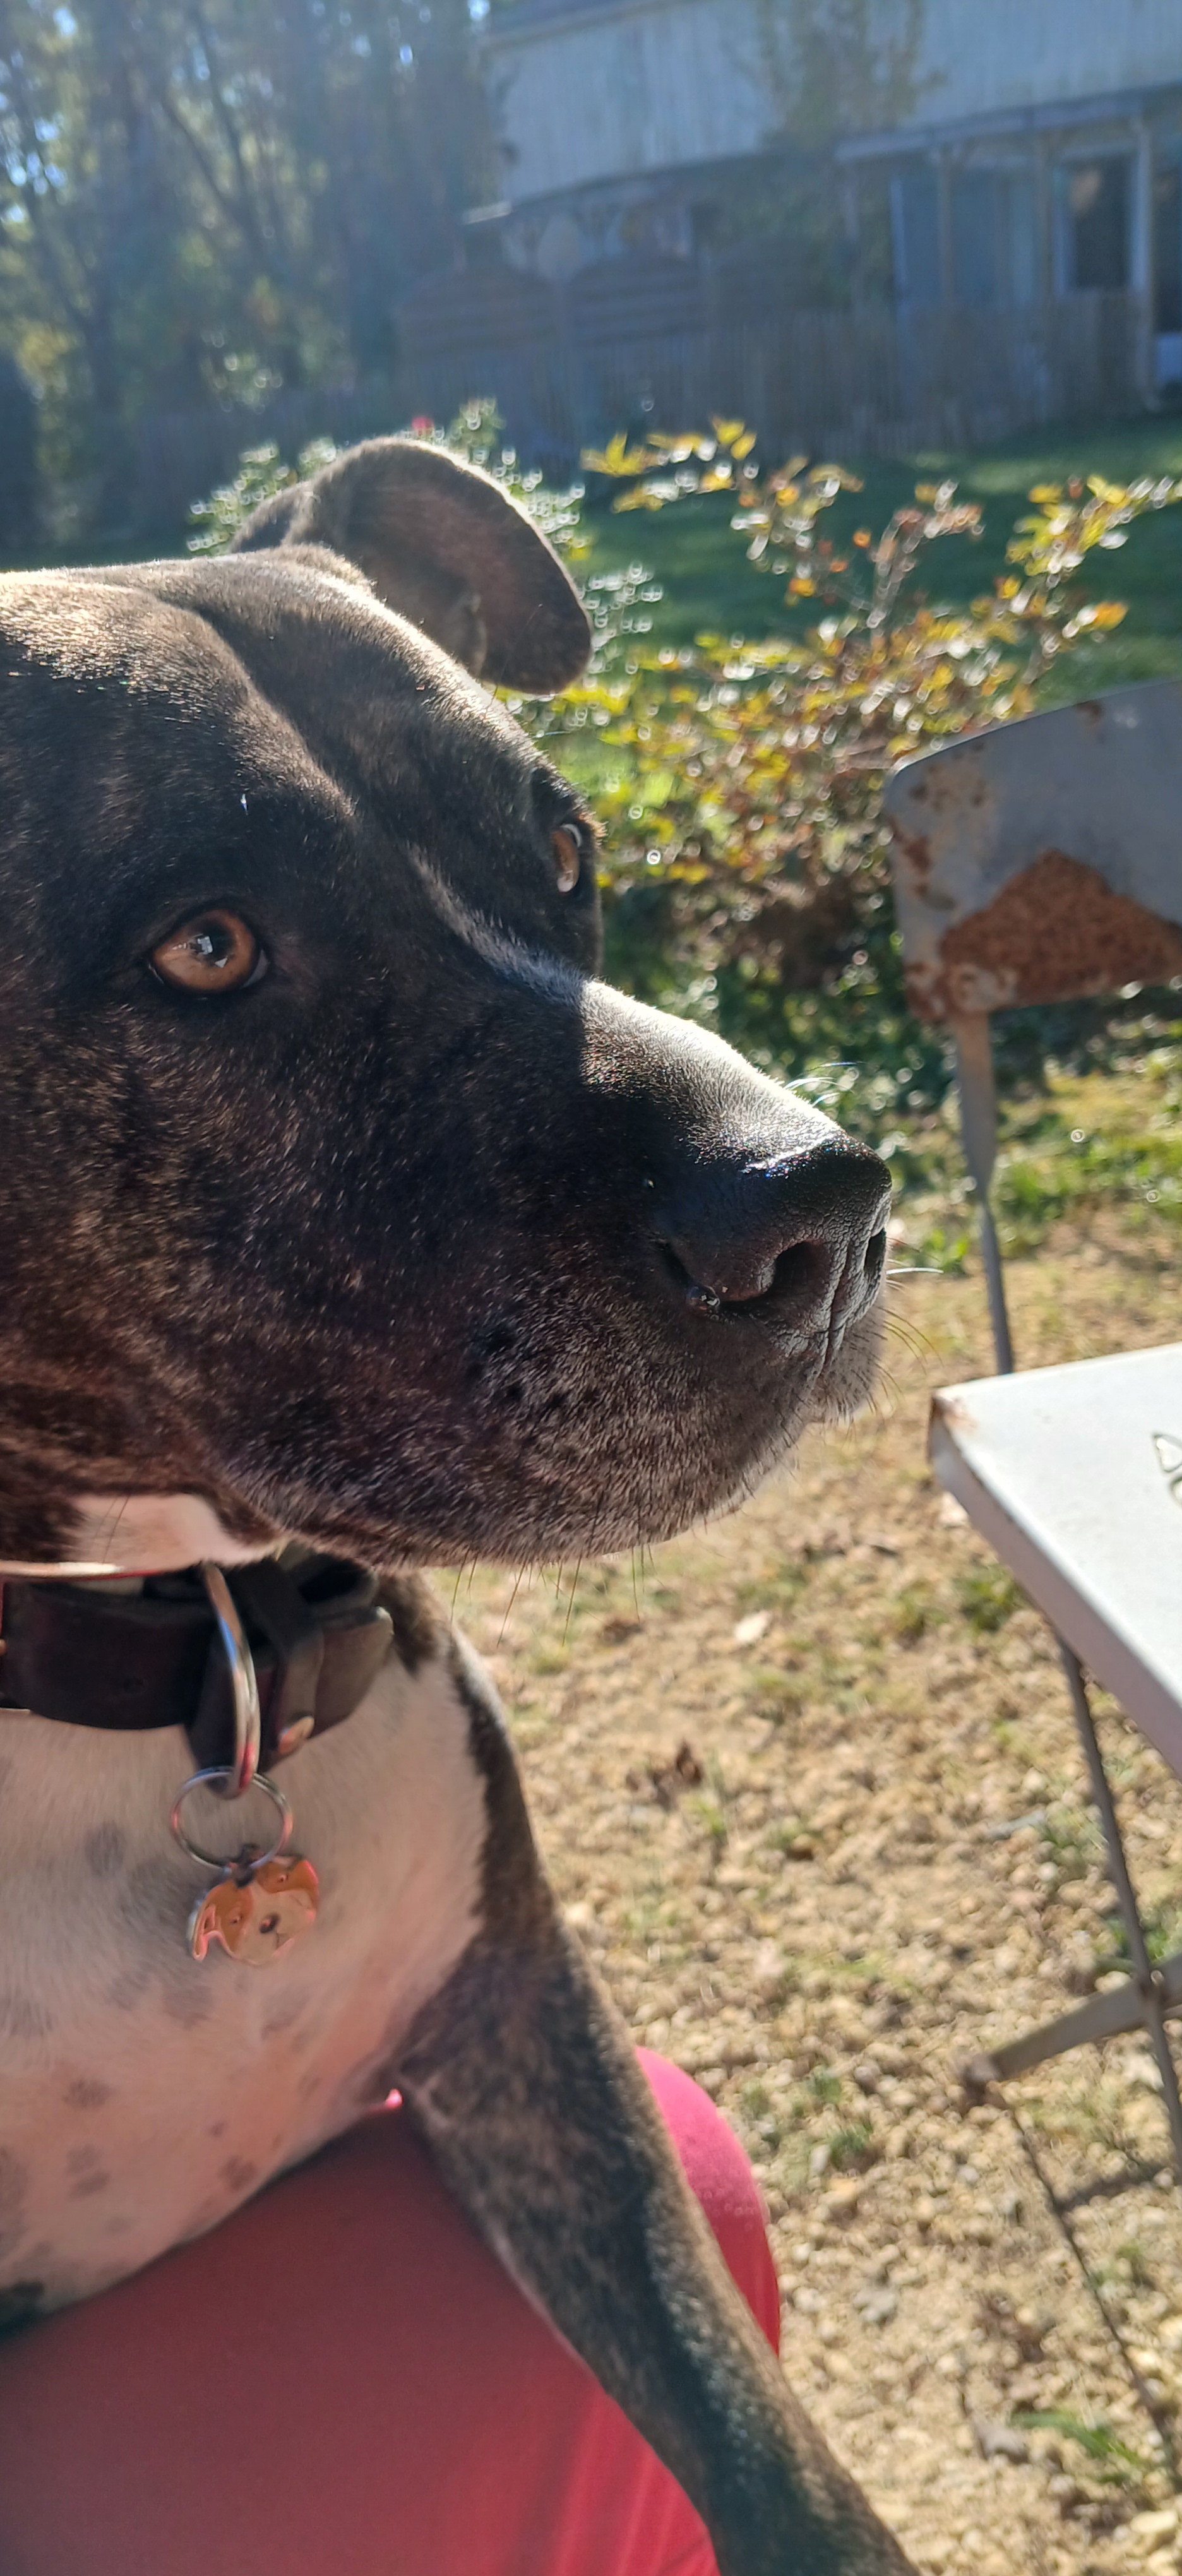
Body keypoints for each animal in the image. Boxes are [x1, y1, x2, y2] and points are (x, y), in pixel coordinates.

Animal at [0, 436, 910, 2574]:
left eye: (565, 848)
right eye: (208, 945)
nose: (822, 1206)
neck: (187, 1663)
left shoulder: (528, 2038)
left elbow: (780, 2462)